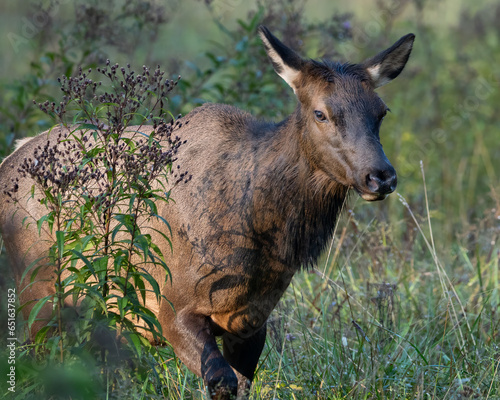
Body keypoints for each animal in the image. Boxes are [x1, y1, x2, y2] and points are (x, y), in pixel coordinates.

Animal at [0, 26, 414, 398]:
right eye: (321, 113)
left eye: (381, 112)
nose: (380, 176)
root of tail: (11, 156)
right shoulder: (171, 306)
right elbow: (221, 382)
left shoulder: (251, 321)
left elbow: (242, 384)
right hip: (37, 290)